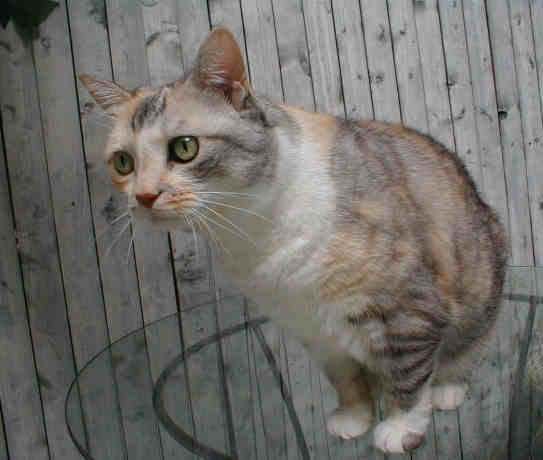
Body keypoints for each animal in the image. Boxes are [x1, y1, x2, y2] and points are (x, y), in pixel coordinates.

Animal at [81, 27, 510, 452]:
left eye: (185, 147)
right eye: (123, 162)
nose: (144, 196)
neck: (253, 234)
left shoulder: (407, 308)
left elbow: (407, 372)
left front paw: (401, 427)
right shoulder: (313, 329)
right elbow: (346, 380)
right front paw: (353, 419)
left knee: (465, 347)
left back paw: (447, 389)